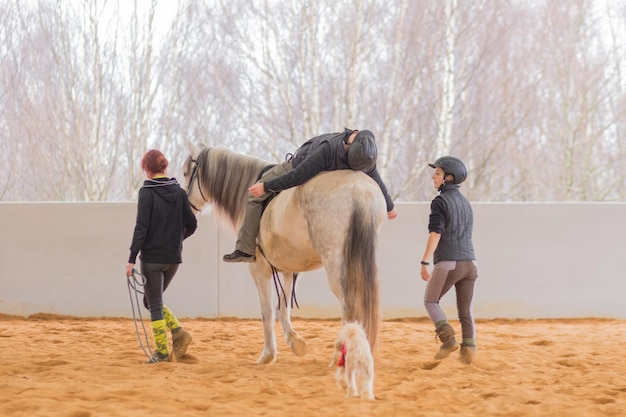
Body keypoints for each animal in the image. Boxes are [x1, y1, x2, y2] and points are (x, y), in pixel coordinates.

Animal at [182, 145, 386, 362]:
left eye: (186, 173)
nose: (186, 207)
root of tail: (360, 190)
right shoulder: (289, 270)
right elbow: (282, 308)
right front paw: (295, 341)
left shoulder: (259, 271)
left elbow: (267, 312)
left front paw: (268, 354)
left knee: (349, 306)